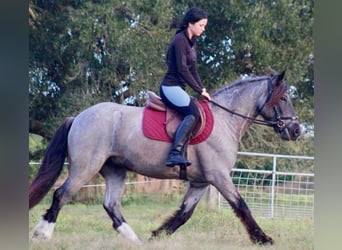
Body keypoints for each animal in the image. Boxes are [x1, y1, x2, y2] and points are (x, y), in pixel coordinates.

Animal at [30, 69, 300, 245]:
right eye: (284, 98)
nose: (296, 130)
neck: (226, 119)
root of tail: (79, 117)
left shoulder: (201, 182)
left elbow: (184, 213)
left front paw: (156, 235)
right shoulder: (219, 176)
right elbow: (241, 205)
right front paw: (263, 239)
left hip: (115, 169)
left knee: (111, 205)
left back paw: (134, 240)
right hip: (86, 167)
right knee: (61, 194)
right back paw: (42, 233)